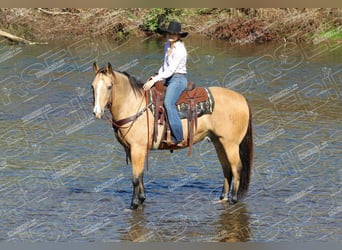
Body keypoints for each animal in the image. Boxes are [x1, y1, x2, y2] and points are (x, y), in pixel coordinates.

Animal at [91, 62, 254, 209]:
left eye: (109, 86)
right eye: (92, 87)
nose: (96, 112)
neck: (134, 105)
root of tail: (242, 99)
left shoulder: (137, 148)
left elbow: (136, 178)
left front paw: (134, 204)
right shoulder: (132, 149)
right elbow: (141, 176)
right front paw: (142, 199)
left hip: (231, 144)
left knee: (236, 168)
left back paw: (233, 200)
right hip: (218, 142)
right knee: (227, 169)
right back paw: (222, 198)